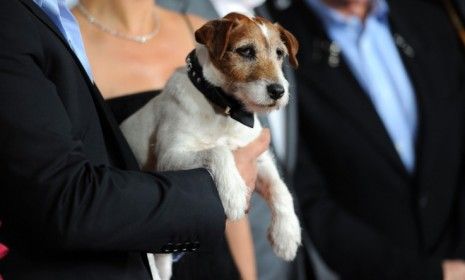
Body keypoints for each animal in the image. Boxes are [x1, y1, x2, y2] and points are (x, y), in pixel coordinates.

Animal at [119, 12, 300, 280]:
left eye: (280, 53)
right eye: (246, 51)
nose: (278, 91)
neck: (225, 111)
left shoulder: (259, 156)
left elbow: (280, 188)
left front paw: (286, 234)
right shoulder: (169, 157)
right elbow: (218, 150)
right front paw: (233, 194)